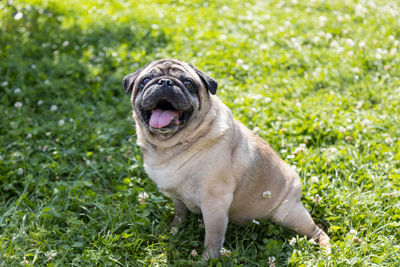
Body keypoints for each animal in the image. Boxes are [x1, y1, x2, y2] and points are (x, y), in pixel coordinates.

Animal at [123, 58, 330, 260]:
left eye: (188, 83)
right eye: (145, 80)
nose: (165, 82)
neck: (170, 146)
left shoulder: (214, 203)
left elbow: (213, 238)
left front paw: (208, 260)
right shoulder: (177, 197)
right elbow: (180, 213)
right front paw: (175, 230)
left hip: (288, 214)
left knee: (318, 232)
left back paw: (326, 251)